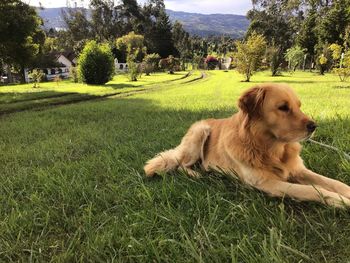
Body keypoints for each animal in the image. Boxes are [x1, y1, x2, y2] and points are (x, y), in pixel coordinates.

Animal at [144, 84, 350, 208]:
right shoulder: (266, 183)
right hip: (200, 132)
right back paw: (197, 173)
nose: (314, 126)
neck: (270, 148)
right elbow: (311, 190)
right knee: (182, 165)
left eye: (299, 106)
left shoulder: (298, 170)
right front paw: (340, 201)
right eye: (283, 107)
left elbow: (333, 182)